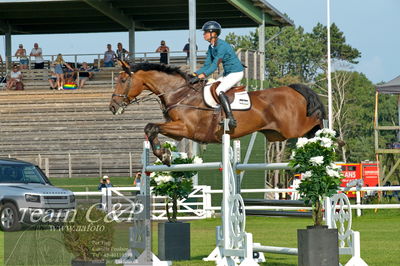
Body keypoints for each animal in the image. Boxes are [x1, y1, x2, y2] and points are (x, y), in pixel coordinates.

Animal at [108, 61, 324, 164]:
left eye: (123, 80)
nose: (112, 107)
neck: (181, 93)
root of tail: (292, 89)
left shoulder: (186, 128)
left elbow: (151, 126)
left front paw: (164, 155)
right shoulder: (175, 130)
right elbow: (151, 128)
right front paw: (164, 155)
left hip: (292, 128)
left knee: (316, 121)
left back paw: (327, 136)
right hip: (277, 134)